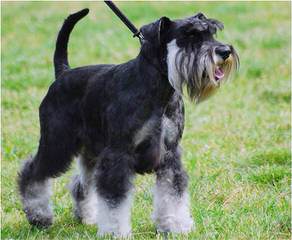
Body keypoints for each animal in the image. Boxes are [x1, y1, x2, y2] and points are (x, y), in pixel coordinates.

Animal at [17, 7, 237, 238]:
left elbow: (172, 194)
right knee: (32, 174)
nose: (225, 51)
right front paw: (115, 232)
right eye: (190, 35)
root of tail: (63, 72)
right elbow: (114, 202)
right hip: (57, 144)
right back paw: (39, 216)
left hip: (91, 150)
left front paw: (176, 226)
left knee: (82, 183)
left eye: (212, 33)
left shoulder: (170, 155)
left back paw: (86, 217)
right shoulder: (118, 156)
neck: (158, 88)